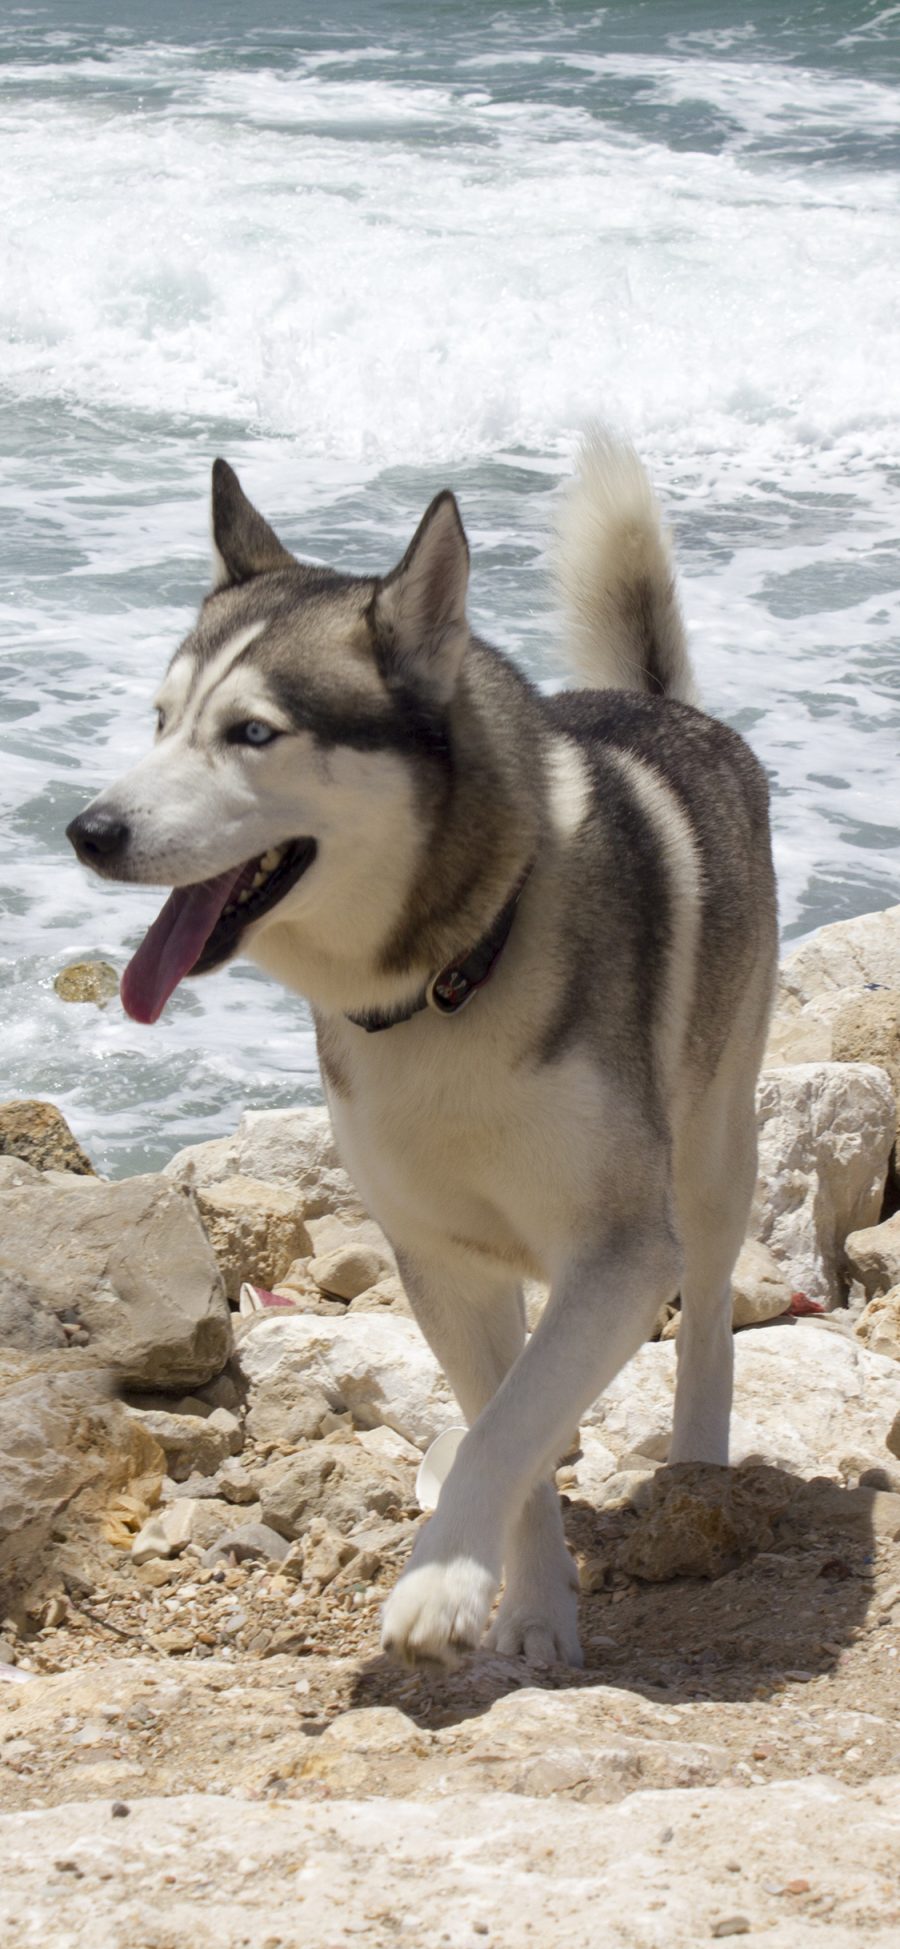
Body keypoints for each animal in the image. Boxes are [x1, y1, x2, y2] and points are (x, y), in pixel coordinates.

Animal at [68, 434, 775, 1668]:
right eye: (159, 719)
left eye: (252, 732)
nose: (89, 831)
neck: (452, 974)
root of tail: (661, 704)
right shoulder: (444, 1257)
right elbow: (512, 1424)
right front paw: (530, 1607)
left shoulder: (619, 1249)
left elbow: (510, 1423)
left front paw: (440, 1581)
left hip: (714, 1152)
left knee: (706, 1320)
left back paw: (697, 1457)